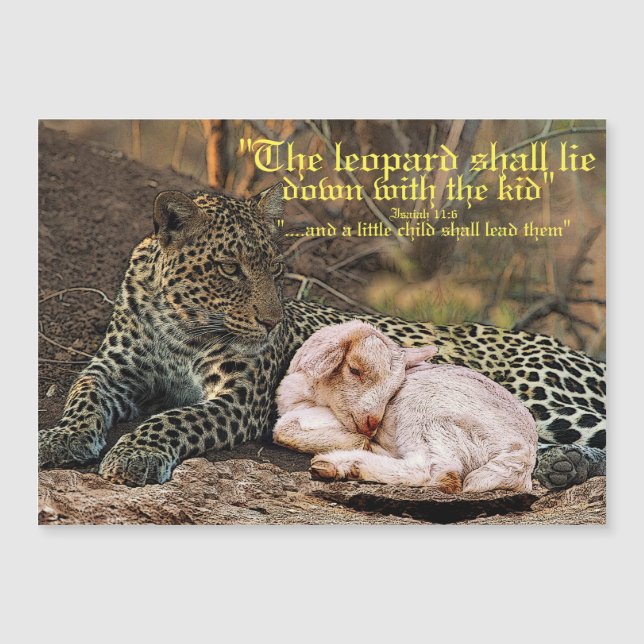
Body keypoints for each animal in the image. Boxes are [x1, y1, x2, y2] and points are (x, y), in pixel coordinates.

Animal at [38, 183, 606, 491]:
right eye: (230, 269)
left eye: (275, 269)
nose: (271, 322)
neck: (180, 322)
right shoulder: (111, 369)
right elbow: (81, 395)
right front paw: (62, 439)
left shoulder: (240, 400)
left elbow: (175, 416)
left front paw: (135, 454)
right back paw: (562, 465)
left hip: (531, 391)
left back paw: (563, 463)